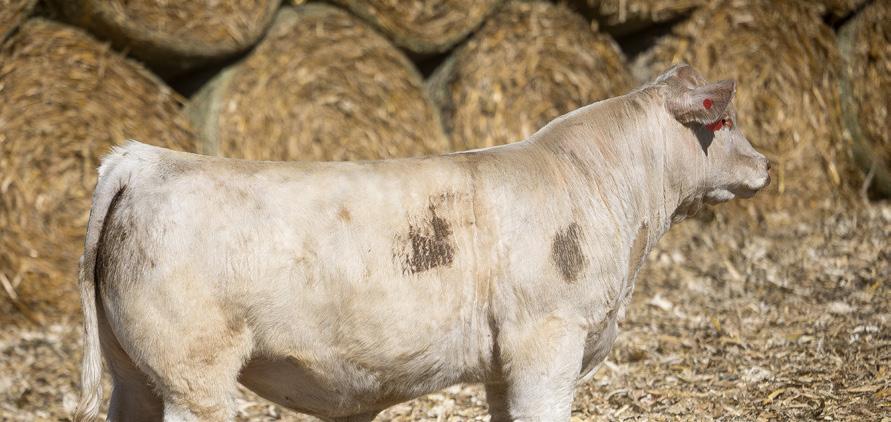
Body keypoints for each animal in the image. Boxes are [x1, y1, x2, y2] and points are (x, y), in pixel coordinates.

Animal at [73, 64, 770, 421]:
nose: (766, 164)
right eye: (725, 120)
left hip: (135, 374)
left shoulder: (505, 363)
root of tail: (146, 159)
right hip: (193, 374)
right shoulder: (547, 340)